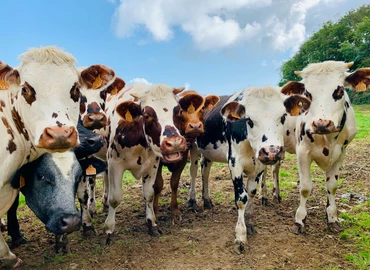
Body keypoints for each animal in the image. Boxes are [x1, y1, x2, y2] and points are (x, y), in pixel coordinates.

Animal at [153, 90, 220, 224]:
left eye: (203, 108)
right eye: (181, 110)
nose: (195, 126)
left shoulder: (183, 158)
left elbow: (174, 183)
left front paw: (175, 211)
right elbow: (158, 184)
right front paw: (155, 213)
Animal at [186, 86, 310, 253]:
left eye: (283, 117)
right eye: (249, 120)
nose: (271, 151)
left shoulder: (259, 166)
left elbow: (251, 192)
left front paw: (249, 223)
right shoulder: (234, 163)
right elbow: (241, 198)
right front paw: (240, 235)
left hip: (208, 152)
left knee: (205, 171)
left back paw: (207, 200)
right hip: (193, 146)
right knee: (193, 171)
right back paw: (192, 200)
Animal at [280, 60, 370, 234]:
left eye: (340, 90)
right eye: (307, 94)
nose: (322, 124)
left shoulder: (341, 153)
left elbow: (332, 186)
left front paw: (332, 217)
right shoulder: (302, 153)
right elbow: (305, 187)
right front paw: (299, 220)